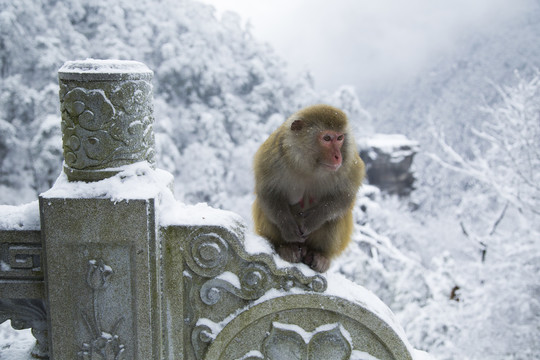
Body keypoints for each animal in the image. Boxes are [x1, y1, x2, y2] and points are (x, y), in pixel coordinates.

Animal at [252, 102, 362, 272]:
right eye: (327, 138)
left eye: (340, 138)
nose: (338, 157)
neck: (309, 165)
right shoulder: (273, 155)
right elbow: (267, 192)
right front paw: (289, 229)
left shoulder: (349, 163)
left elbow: (345, 197)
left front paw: (312, 221)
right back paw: (286, 248)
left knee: (337, 215)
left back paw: (319, 255)